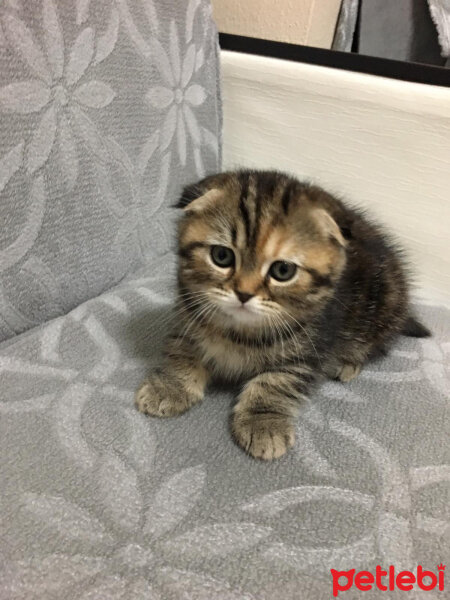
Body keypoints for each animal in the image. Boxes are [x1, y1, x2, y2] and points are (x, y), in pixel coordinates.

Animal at [135, 171, 430, 462]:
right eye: (221, 256)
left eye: (283, 271)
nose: (243, 293)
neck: (239, 331)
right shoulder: (188, 316)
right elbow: (181, 350)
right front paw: (170, 387)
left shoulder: (308, 350)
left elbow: (276, 382)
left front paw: (263, 423)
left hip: (382, 308)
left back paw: (347, 363)